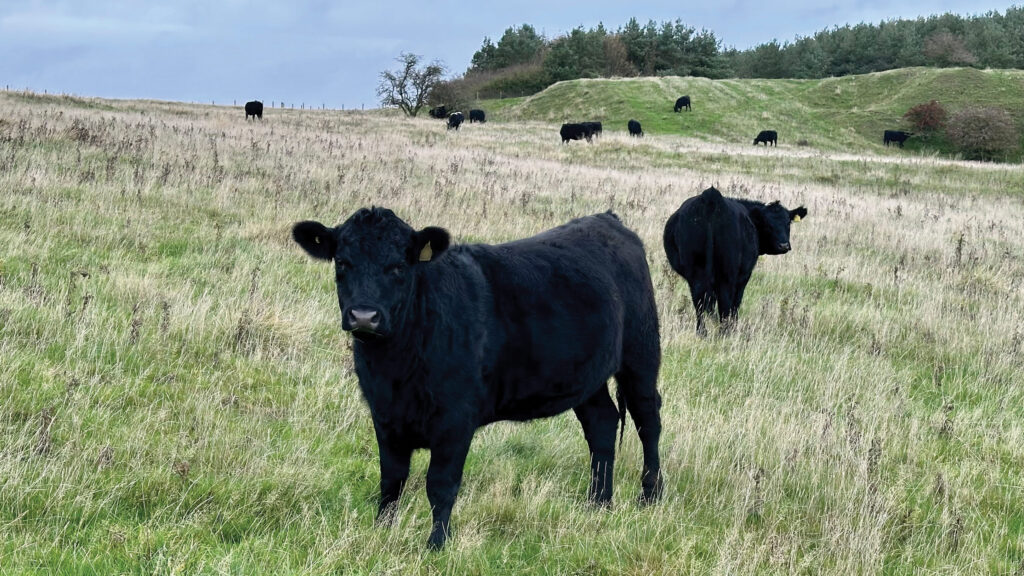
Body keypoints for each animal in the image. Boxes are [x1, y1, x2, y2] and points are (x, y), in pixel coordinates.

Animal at [292, 208, 664, 549]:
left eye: (398, 266)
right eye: (342, 263)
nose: (364, 316)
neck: (395, 369)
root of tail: (606, 218)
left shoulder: (455, 420)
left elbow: (440, 484)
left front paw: (436, 545)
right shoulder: (384, 415)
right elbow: (391, 480)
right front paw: (381, 533)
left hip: (641, 354)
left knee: (648, 420)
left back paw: (650, 495)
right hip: (586, 377)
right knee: (602, 423)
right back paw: (598, 503)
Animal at [663, 187, 807, 336]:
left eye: (788, 222)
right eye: (768, 224)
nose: (784, 245)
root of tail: (712, 197)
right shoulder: (743, 276)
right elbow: (736, 303)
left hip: (696, 271)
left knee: (700, 301)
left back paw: (702, 332)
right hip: (726, 273)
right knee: (725, 302)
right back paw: (725, 332)